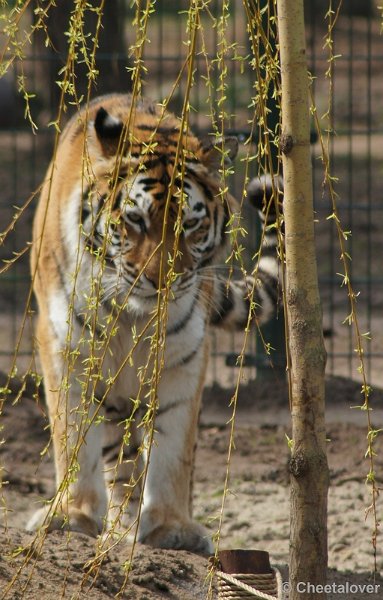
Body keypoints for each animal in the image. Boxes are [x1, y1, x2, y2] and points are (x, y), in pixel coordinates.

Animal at [28, 91, 284, 556]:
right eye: (134, 220)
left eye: (191, 224)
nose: (160, 281)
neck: (133, 316)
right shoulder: (65, 345)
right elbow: (76, 437)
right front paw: (73, 516)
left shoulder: (185, 354)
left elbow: (172, 448)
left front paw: (171, 526)